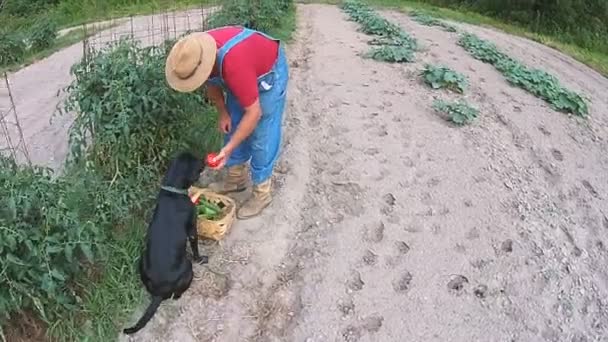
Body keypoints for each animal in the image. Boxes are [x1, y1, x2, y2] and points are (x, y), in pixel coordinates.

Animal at [123, 152, 209, 334]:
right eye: (196, 160)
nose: (204, 158)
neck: (173, 192)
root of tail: (158, 293)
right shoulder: (192, 228)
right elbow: (195, 247)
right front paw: (201, 259)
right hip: (188, 269)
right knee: (176, 294)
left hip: (141, 260)